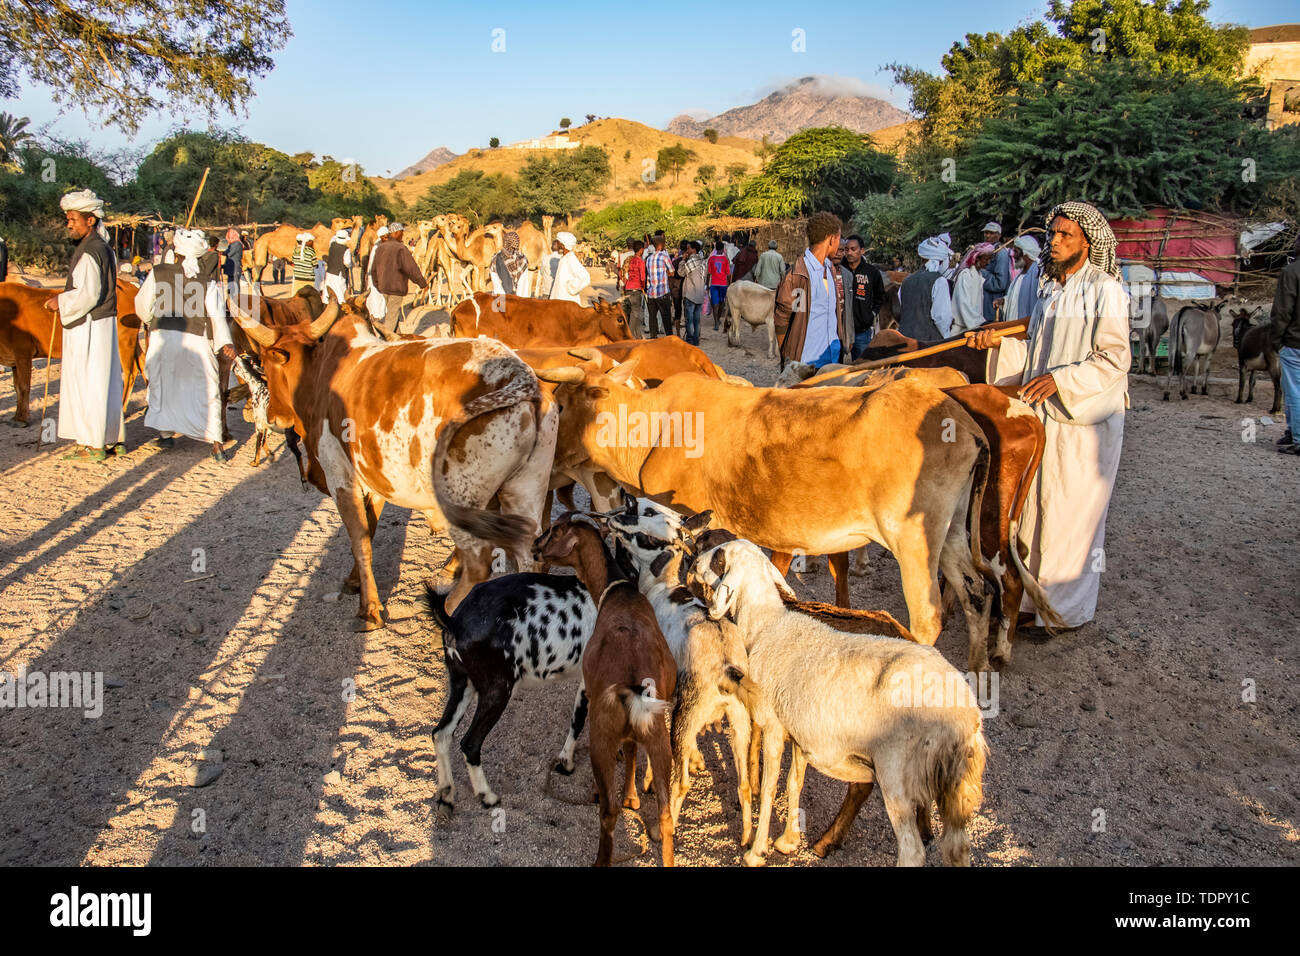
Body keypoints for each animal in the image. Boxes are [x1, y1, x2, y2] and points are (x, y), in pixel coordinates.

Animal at [231, 299, 556, 629]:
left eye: (267, 365)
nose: (273, 415)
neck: (322, 374)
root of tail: (520, 379)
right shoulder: (374, 478)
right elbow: (370, 526)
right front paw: (355, 582)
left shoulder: (340, 478)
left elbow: (359, 537)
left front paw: (370, 608)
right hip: (524, 491)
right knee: (528, 558)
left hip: (463, 499)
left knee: (478, 565)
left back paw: (447, 609)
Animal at [426, 554, 598, 806]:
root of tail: (454, 622)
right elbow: (583, 718)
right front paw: (568, 764)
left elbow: (578, 717)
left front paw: (565, 763)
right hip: (497, 689)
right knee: (470, 743)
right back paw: (487, 796)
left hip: (461, 680)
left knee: (441, 733)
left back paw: (447, 794)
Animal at [535, 515, 681, 868]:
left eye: (554, 532)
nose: (534, 546)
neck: (617, 592)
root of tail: (635, 687)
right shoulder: (634, 734)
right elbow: (630, 753)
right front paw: (632, 797)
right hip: (658, 739)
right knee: (665, 814)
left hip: (602, 737)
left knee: (608, 811)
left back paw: (601, 858)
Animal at [691, 538, 982, 868]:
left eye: (718, 556)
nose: (693, 561)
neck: (769, 624)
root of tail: (964, 716)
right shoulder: (800, 732)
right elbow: (794, 782)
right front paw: (789, 841)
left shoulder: (774, 727)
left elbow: (768, 788)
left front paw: (756, 851)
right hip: (956, 784)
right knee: (958, 846)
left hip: (897, 773)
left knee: (910, 848)